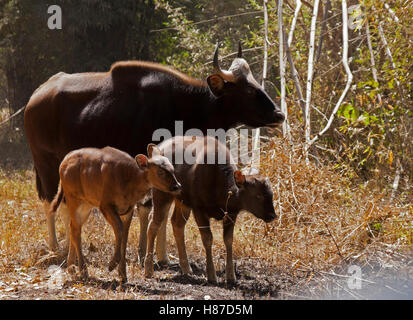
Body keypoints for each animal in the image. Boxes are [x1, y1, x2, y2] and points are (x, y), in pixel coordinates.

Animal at [49, 145, 180, 282]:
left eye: (172, 169)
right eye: (160, 171)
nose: (177, 186)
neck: (129, 182)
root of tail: (63, 163)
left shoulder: (128, 209)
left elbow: (125, 236)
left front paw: (123, 274)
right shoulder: (105, 204)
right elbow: (119, 229)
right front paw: (112, 264)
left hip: (86, 204)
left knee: (74, 227)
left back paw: (72, 268)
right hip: (73, 197)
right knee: (75, 230)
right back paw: (83, 272)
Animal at [143, 136, 276, 284]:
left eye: (271, 194)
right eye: (258, 195)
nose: (272, 215)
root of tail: (156, 149)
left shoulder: (231, 214)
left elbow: (228, 240)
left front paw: (231, 276)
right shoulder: (199, 210)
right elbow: (207, 238)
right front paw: (211, 275)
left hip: (182, 202)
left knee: (176, 224)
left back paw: (186, 268)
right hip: (162, 194)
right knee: (154, 223)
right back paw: (149, 270)